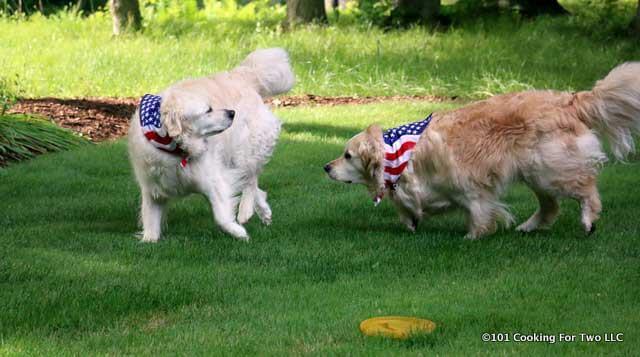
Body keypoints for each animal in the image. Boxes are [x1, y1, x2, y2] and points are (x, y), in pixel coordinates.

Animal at [128, 48, 298, 242]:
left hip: (245, 150)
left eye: (211, 106)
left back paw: (245, 211)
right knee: (255, 186)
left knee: (251, 179)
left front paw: (238, 232)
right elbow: (150, 226)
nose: (232, 113)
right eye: (208, 110)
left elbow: (221, 217)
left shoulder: (214, 180)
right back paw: (263, 211)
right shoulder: (153, 191)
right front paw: (148, 240)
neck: (174, 147)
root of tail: (243, 75)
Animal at [324, 62, 640, 238]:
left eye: (348, 155)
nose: (326, 167)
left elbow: (477, 209)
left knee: (585, 188)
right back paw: (528, 227)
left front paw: (474, 236)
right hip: (535, 173)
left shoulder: (469, 182)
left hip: (549, 168)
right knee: (551, 206)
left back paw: (588, 219)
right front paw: (411, 221)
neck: (398, 154)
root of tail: (569, 99)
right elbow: (408, 205)